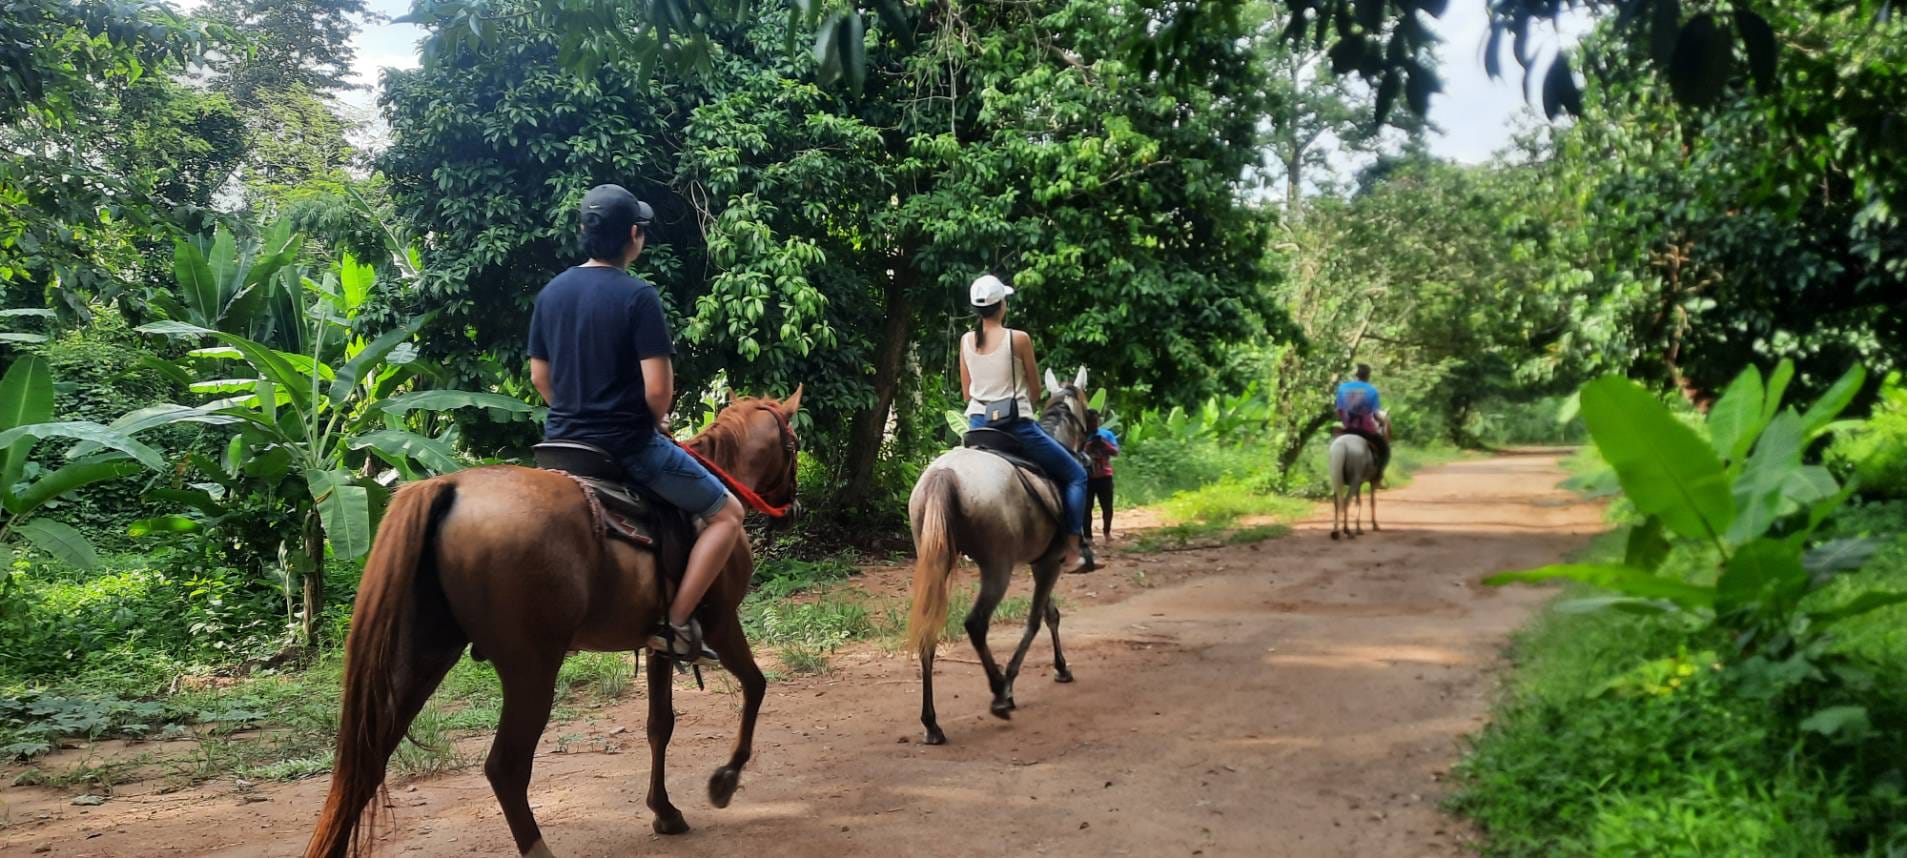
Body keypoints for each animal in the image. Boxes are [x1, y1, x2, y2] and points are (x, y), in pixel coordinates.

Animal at [299, 390, 804, 858]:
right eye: (794, 443)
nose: (790, 505)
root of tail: (451, 488)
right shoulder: (721, 621)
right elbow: (756, 686)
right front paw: (725, 779)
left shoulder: (659, 641)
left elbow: (659, 724)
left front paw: (665, 811)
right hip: (532, 668)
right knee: (504, 767)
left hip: (422, 655)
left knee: (364, 763)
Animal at [907, 366, 1090, 747]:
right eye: (1087, 408)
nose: (1088, 451)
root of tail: (945, 473)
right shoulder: (1049, 563)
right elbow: (1036, 620)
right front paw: (1013, 681)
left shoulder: (1041, 562)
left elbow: (1050, 614)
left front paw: (1060, 667)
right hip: (998, 567)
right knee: (976, 624)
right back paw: (998, 692)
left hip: (935, 562)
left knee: (929, 631)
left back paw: (932, 723)